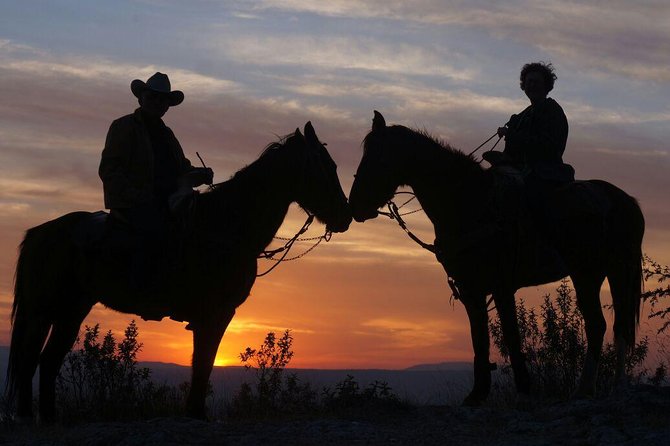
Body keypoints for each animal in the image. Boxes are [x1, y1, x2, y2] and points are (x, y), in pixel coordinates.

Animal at [9, 121, 352, 418]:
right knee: (29, 361)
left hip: (71, 310)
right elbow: (203, 364)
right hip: (43, 311)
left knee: (48, 361)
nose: (345, 216)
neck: (226, 226)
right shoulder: (215, 313)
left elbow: (203, 365)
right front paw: (196, 413)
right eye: (328, 167)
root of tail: (40, 233)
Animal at [352, 110, 644, 404]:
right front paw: (477, 394)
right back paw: (600, 388)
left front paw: (524, 389)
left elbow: (512, 336)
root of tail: (624, 200)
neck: (472, 204)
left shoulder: (503, 286)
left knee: (607, 325)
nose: (355, 206)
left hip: (603, 271)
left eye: (379, 158)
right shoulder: (471, 288)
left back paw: (598, 388)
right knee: (608, 325)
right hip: (597, 274)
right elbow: (478, 338)